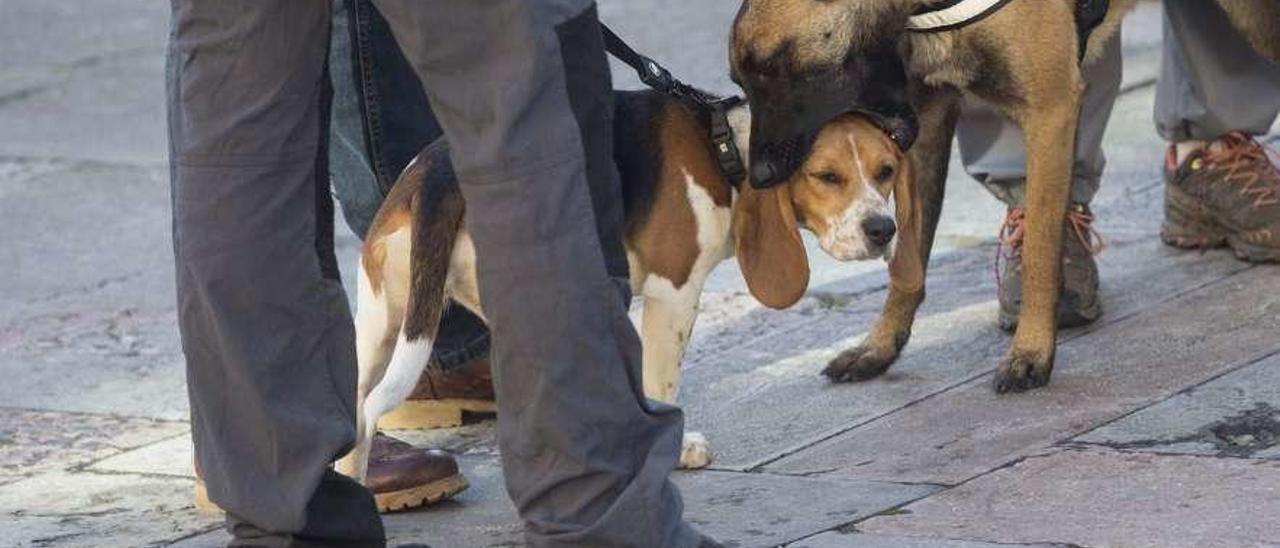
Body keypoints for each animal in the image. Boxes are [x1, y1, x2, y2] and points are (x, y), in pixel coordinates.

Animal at [335, 90, 916, 478]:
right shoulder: (673, 292)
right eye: (827, 177)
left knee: (358, 414)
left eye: (886, 171)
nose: (882, 230)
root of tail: (438, 172)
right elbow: (662, 380)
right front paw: (675, 449)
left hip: (381, 321)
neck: (725, 149)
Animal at [732, 0, 1280, 394]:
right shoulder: (927, 120)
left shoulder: (1051, 112)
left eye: (770, 67)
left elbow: (1039, 250)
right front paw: (882, 345)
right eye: (741, 80)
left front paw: (1031, 353)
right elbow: (908, 261)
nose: (757, 173)